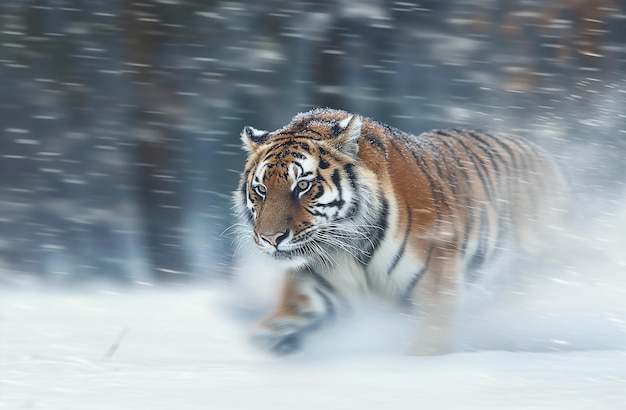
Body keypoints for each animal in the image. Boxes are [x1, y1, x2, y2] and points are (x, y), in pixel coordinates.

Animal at [234, 107, 564, 354]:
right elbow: (266, 335)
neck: (348, 247)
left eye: (302, 185)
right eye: (261, 190)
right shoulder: (312, 293)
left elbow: (428, 344)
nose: (271, 238)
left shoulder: (436, 288)